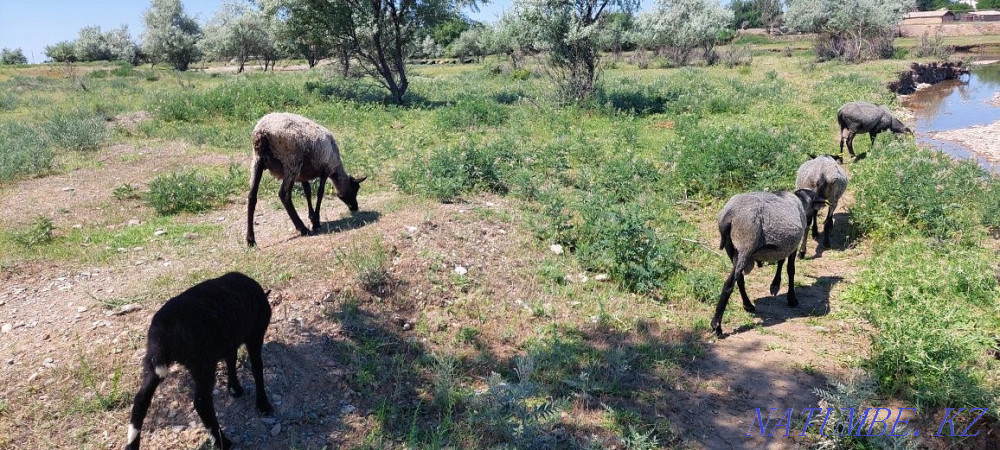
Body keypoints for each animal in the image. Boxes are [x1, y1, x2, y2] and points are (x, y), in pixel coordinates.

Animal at [125, 272, 273, 450]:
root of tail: (162, 329)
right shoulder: (255, 335)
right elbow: (257, 367)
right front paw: (263, 404)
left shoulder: (229, 342)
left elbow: (231, 361)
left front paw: (234, 388)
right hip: (202, 362)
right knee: (201, 402)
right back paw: (223, 441)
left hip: (153, 362)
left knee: (140, 400)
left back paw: (132, 444)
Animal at [246, 112, 366, 247]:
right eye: (355, 189)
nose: (355, 208)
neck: (336, 169)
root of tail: (262, 131)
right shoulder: (326, 169)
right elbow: (320, 193)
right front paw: (316, 222)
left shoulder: (303, 175)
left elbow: (308, 192)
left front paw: (312, 217)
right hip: (291, 162)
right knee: (284, 194)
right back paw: (302, 228)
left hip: (258, 161)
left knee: (252, 196)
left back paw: (250, 240)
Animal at [711, 189, 827, 337]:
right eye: (814, 209)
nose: (810, 222)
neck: (801, 202)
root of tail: (729, 215)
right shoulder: (792, 246)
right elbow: (791, 270)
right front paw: (792, 299)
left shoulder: (783, 246)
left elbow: (781, 261)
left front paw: (775, 284)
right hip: (746, 244)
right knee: (729, 285)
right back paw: (717, 326)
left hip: (732, 249)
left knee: (740, 279)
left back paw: (748, 305)